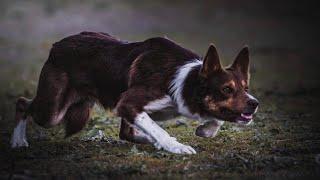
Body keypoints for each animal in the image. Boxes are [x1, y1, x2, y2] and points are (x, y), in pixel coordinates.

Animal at [10, 31, 260, 154]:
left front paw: (204, 130)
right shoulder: (128, 103)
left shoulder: (134, 108)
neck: (183, 80)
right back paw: (18, 141)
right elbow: (158, 130)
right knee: (22, 103)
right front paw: (176, 146)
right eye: (226, 89)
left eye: (246, 88)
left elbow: (215, 120)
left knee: (126, 133)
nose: (255, 103)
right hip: (52, 110)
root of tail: (57, 44)